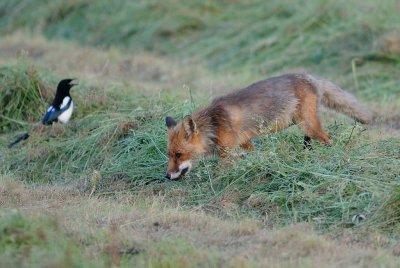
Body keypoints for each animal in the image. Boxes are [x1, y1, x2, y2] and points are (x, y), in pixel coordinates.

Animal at [164, 73, 370, 180]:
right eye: (169, 154)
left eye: (179, 154)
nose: (166, 176)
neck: (214, 125)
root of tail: (309, 77)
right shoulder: (245, 143)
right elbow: (253, 154)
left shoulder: (228, 153)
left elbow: (221, 171)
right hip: (304, 125)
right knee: (309, 141)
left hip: (310, 125)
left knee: (328, 140)